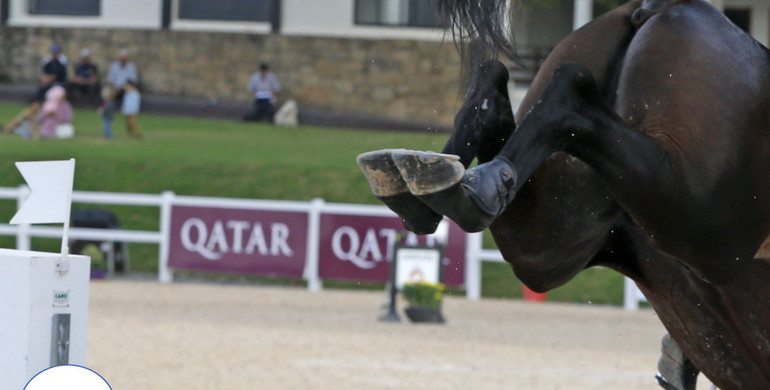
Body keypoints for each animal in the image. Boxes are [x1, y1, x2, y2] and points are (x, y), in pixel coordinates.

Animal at [358, 0, 768, 390]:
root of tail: (664, 6)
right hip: (709, 231)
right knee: (569, 91)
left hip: (550, 241)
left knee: (500, 90)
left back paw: (442, 187)